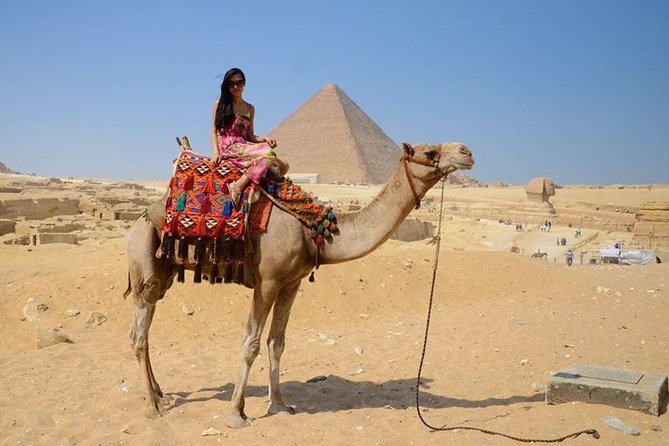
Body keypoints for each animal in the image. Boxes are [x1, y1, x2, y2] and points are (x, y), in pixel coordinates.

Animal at [123, 142, 474, 428]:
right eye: (430, 151)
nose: (467, 151)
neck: (313, 230)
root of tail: (136, 221)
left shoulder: (291, 282)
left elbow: (276, 342)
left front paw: (279, 404)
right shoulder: (267, 280)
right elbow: (250, 343)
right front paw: (237, 414)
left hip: (164, 274)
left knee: (144, 332)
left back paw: (159, 393)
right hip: (145, 264)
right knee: (139, 336)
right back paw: (154, 407)